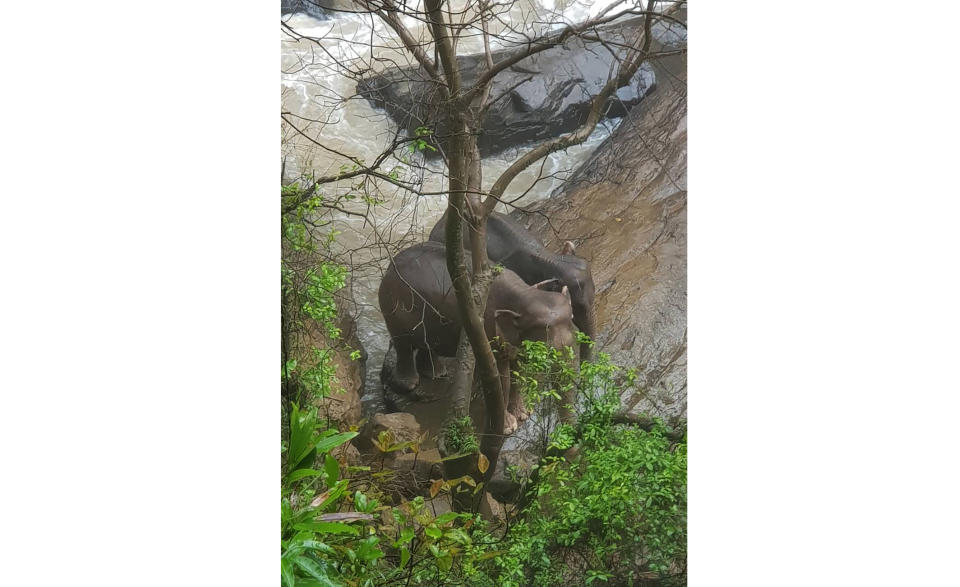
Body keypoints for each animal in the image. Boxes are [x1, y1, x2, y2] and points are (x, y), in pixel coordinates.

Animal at [376, 241, 576, 434]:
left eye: (572, 318)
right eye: (545, 339)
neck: (524, 293)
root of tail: (390, 265)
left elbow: (518, 371)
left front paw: (523, 415)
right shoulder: (488, 332)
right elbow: (502, 378)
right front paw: (508, 428)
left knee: (427, 344)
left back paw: (436, 373)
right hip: (394, 311)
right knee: (403, 346)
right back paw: (410, 384)